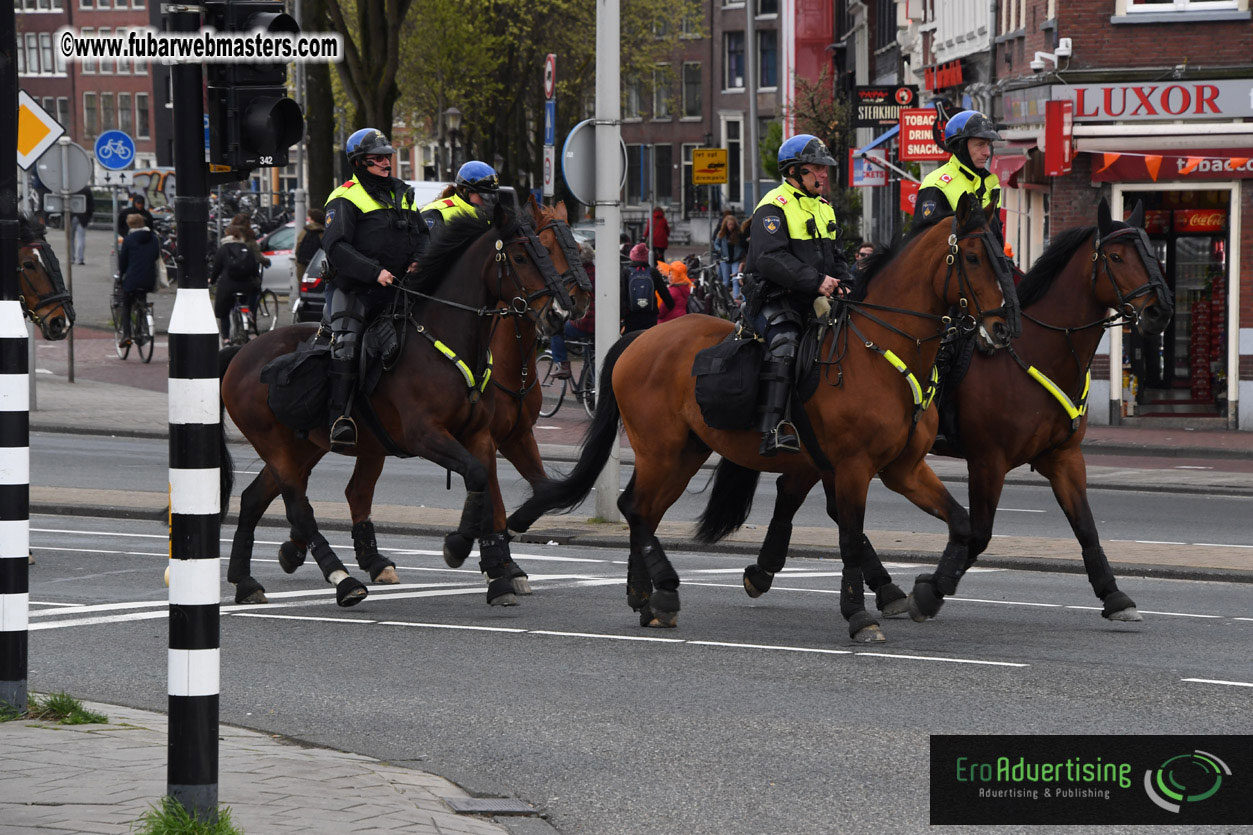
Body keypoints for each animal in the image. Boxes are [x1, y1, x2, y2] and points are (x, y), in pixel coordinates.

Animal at [220, 201, 573, 604]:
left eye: (546, 250)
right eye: (519, 256)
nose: (560, 313)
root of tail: (240, 354)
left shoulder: (482, 436)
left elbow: (485, 486)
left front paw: (496, 573)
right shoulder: (426, 436)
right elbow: (478, 478)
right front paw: (459, 547)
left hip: (302, 448)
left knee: (253, 500)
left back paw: (246, 581)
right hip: (277, 447)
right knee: (300, 509)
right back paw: (343, 579)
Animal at [511, 193, 1017, 636]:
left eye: (1005, 258)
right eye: (974, 258)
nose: (1002, 327)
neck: (879, 351)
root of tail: (639, 337)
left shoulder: (902, 468)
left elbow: (961, 523)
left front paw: (928, 593)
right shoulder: (854, 468)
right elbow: (849, 537)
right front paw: (860, 615)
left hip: (685, 452)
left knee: (642, 510)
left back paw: (646, 597)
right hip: (661, 450)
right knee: (635, 509)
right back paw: (665, 591)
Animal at [716, 196, 1172, 624]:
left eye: (1151, 252)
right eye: (1117, 257)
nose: (1159, 311)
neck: (1033, 350)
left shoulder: (1063, 457)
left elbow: (1085, 527)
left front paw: (1114, 594)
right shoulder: (988, 460)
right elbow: (980, 532)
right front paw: (930, 591)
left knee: (798, 494)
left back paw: (775, 573)